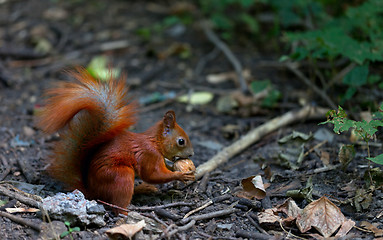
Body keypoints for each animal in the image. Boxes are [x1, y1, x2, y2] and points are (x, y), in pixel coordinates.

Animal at [38, 67, 195, 208]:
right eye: (181, 141)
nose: (192, 154)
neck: (154, 142)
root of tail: (92, 192)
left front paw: (174, 167)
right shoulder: (149, 155)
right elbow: (152, 175)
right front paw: (180, 175)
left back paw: (144, 189)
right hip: (121, 176)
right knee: (118, 204)